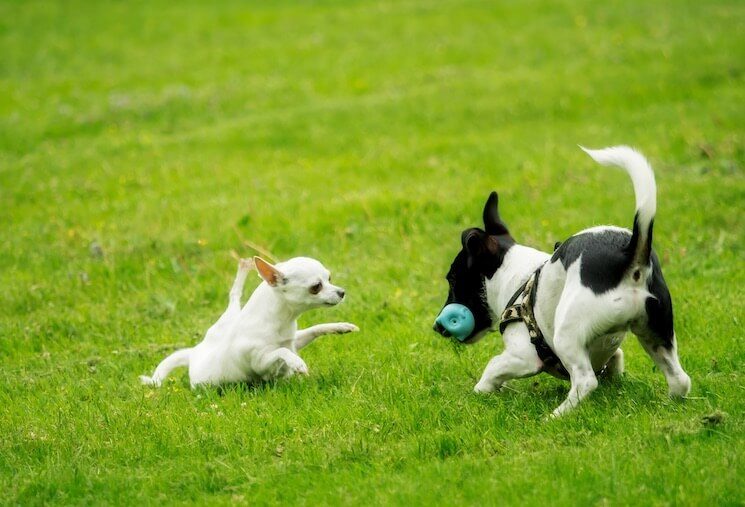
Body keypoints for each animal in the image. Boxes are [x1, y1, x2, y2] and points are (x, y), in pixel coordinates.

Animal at [430, 146, 692, 416]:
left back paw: (556, 415)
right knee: (680, 380)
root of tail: (630, 253)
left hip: (566, 334)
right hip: (657, 332)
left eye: (453, 279)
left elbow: (493, 367)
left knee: (585, 381)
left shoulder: (523, 356)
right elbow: (616, 360)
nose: (438, 326)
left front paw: (480, 392)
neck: (516, 276)